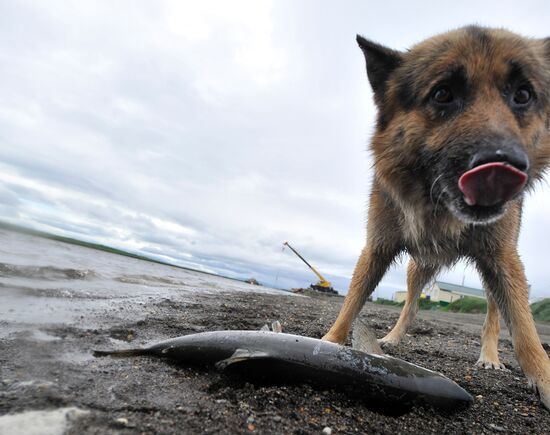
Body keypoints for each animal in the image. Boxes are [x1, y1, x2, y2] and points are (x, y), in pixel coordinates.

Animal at [324, 25, 550, 410]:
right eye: (443, 94)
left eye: (523, 95)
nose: (505, 164)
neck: (439, 205)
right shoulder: (377, 247)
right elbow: (351, 303)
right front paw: (329, 341)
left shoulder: (502, 259)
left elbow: (524, 328)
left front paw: (544, 378)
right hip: (418, 268)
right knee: (412, 305)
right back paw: (392, 337)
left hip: (492, 270)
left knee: (493, 314)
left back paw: (490, 356)